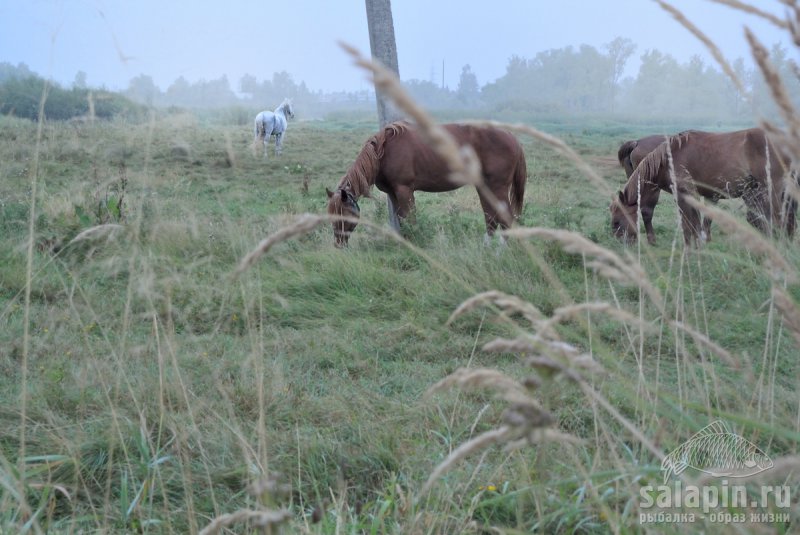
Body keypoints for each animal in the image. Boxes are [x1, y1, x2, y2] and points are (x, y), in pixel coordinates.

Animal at [324, 121, 524, 247]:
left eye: (343, 215)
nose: (338, 244)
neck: (384, 152)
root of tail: (511, 136)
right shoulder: (393, 194)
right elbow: (401, 220)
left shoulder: (405, 190)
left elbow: (410, 218)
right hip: (484, 186)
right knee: (490, 217)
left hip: (498, 186)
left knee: (505, 217)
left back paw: (500, 251)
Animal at [612, 129, 792, 246]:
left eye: (616, 221)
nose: (620, 242)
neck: (669, 157)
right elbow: (695, 223)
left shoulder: (687, 194)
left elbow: (689, 225)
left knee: (777, 220)